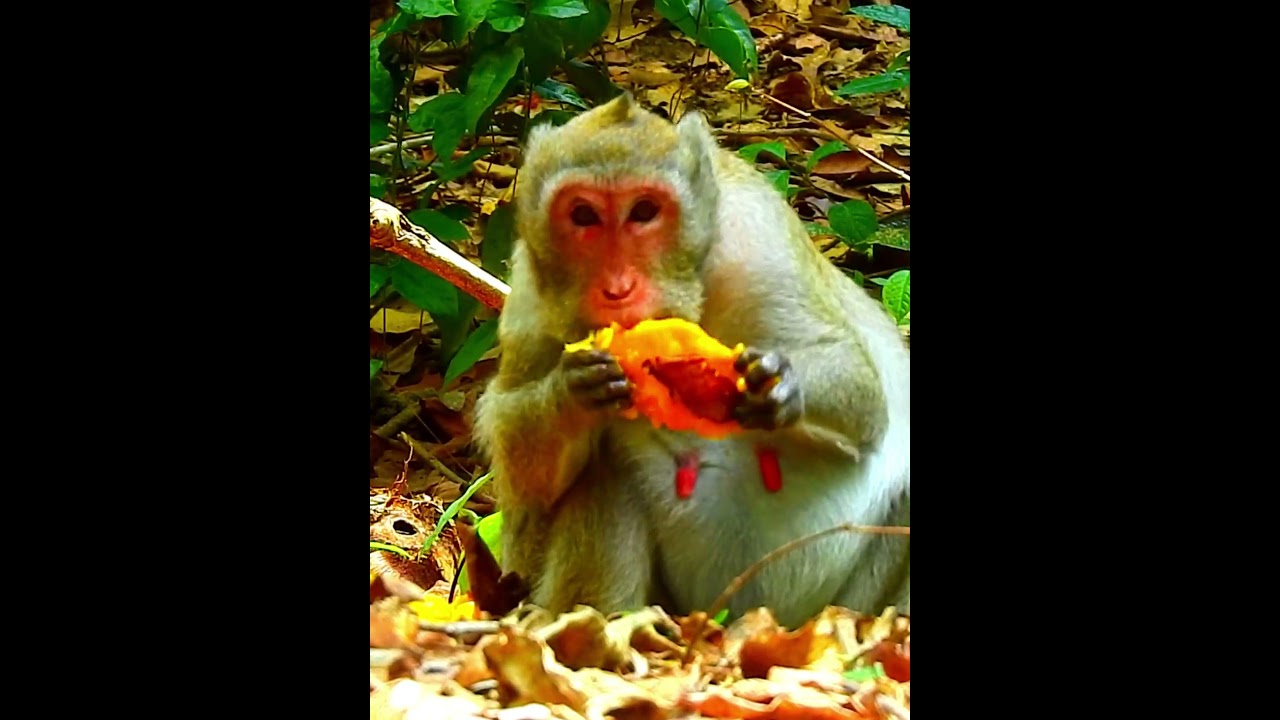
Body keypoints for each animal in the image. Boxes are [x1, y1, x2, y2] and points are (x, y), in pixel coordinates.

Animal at [471, 92, 909, 629]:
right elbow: (523, 493)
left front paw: (780, 384)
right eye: (583, 215)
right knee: (603, 471)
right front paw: (574, 391)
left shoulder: (760, 237)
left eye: (644, 211)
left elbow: (857, 381)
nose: (618, 288)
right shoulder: (532, 290)